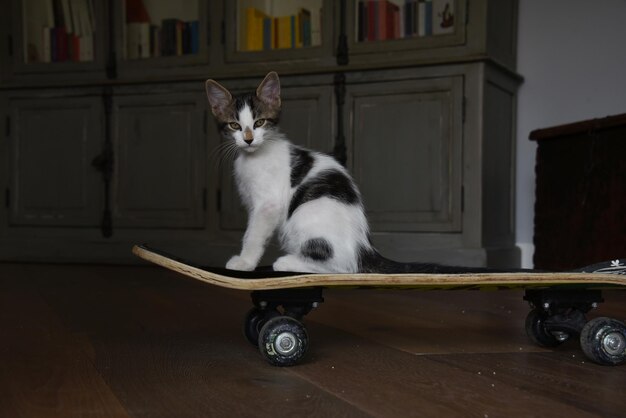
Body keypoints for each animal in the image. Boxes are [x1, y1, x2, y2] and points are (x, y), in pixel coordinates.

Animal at [205, 72, 482, 274]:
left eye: (260, 122)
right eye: (234, 125)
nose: (249, 139)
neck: (255, 156)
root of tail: (363, 248)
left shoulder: (268, 205)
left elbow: (253, 234)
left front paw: (244, 262)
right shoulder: (253, 203)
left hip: (307, 215)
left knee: (342, 267)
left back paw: (288, 262)